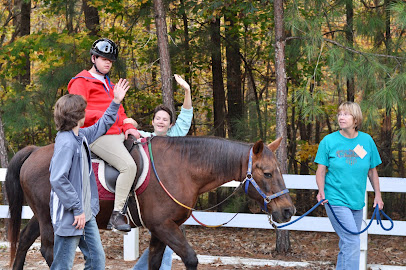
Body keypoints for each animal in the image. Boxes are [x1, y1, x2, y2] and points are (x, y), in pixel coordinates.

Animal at [5, 136, 294, 268]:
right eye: (268, 173)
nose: (288, 210)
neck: (182, 168)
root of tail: (35, 152)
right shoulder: (164, 227)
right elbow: (190, 259)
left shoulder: (160, 230)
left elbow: (154, 262)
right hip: (50, 218)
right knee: (48, 251)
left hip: (41, 215)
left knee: (24, 241)